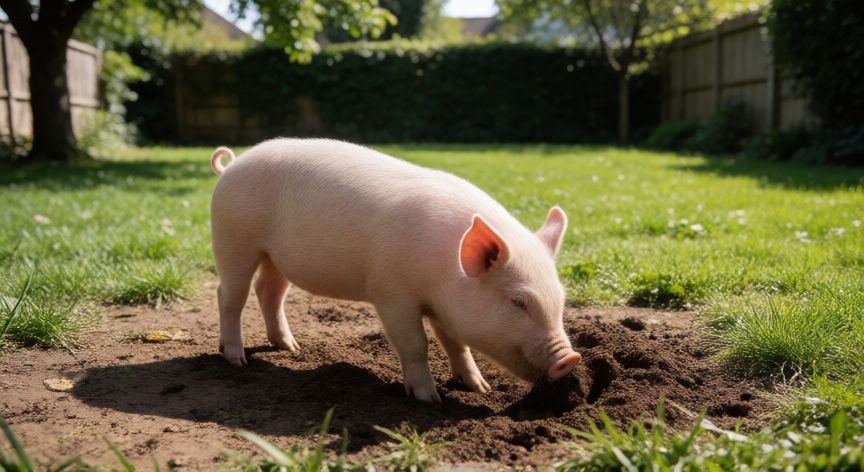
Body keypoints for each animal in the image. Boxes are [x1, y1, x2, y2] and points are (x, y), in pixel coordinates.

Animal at [210, 139, 582, 402]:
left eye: (560, 300)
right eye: (518, 302)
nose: (570, 358)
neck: (444, 272)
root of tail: (232, 165)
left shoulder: (444, 306)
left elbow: (456, 343)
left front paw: (481, 388)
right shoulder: (391, 294)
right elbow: (417, 344)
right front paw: (430, 400)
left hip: (276, 257)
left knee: (269, 291)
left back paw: (291, 348)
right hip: (234, 239)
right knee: (230, 295)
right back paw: (236, 359)